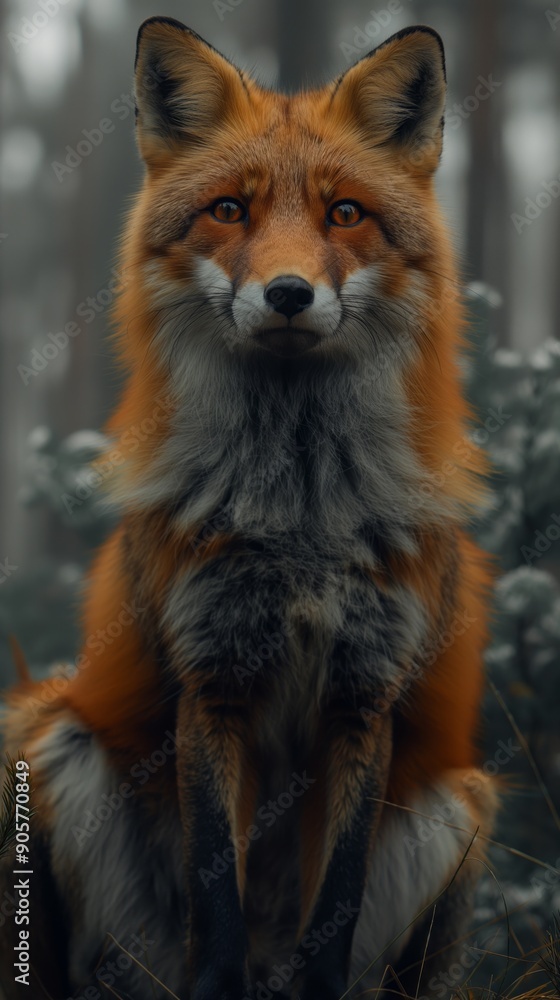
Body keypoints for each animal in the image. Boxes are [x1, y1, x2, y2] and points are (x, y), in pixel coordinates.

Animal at [0, 17, 497, 1000]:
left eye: (345, 214)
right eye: (230, 211)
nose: (290, 293)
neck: (299, 517)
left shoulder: (364, 695)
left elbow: (333, 907)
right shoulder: (212, 678)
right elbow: (215, 900)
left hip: (458, 803)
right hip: (49, 738)